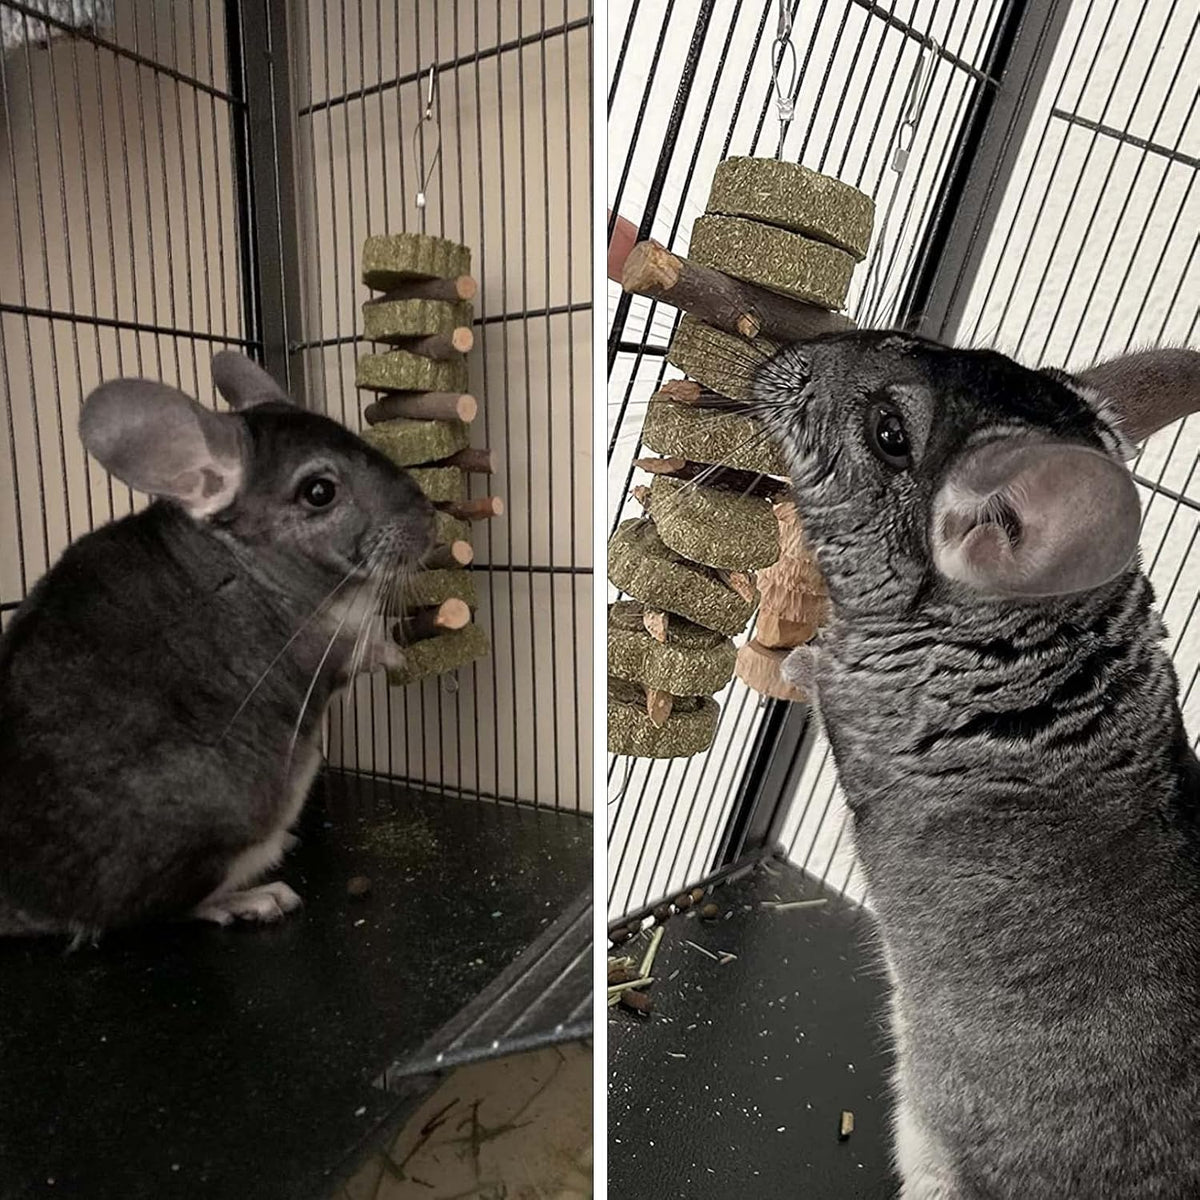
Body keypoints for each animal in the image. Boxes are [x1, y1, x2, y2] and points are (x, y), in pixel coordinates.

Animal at [0, 351, 434, 940]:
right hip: (217, 816)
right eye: (319, 492)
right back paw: (257, 897)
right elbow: (364, 650)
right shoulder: (322, 645)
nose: (431, 520)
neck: (251, 563)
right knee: (153, 911)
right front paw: (398, 652)